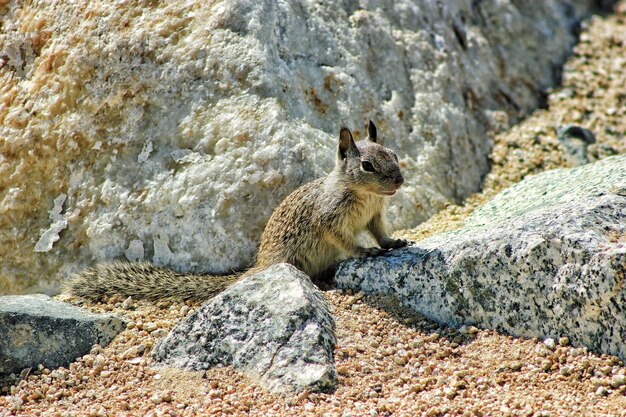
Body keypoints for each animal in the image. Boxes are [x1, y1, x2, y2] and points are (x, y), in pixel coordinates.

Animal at [68, 120, 408, 302]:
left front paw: (394, 243)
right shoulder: (330, 219)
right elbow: (344, 240)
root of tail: (258, 266)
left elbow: (380, 232)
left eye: (393, 154)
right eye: (367, 166)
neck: (365, 195)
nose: (400, 181)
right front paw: (364, 252)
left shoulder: (376, 215)